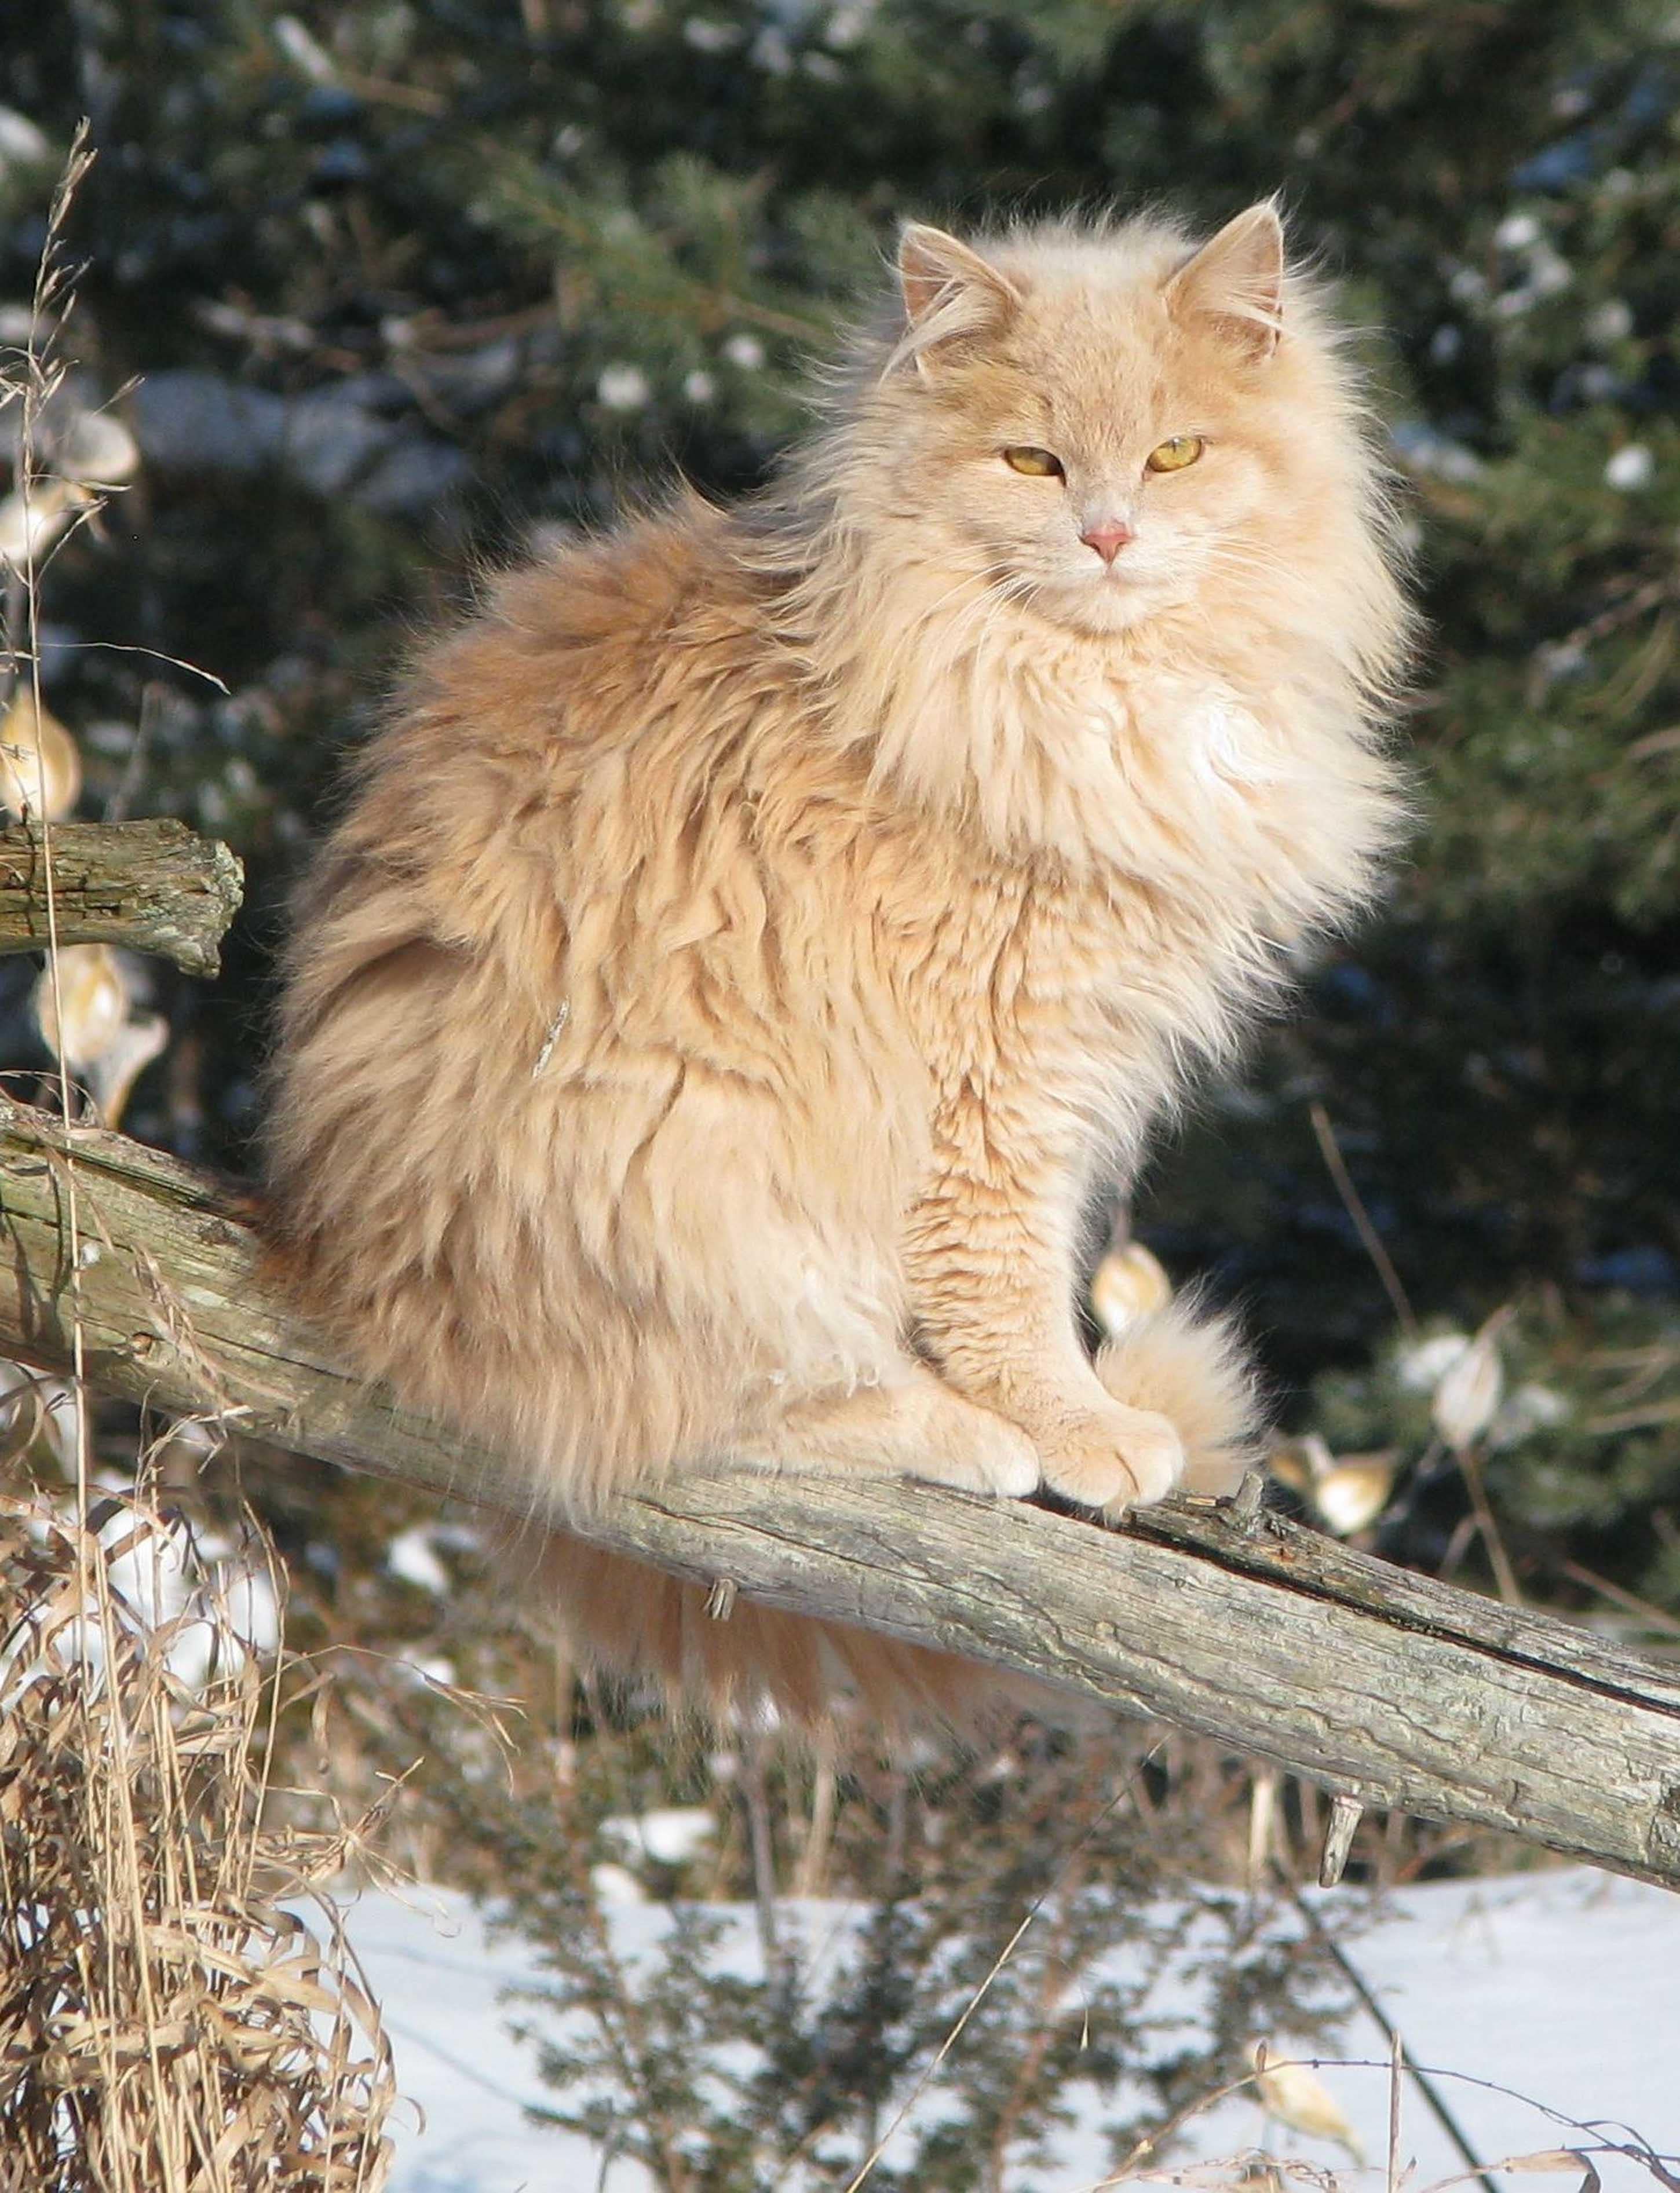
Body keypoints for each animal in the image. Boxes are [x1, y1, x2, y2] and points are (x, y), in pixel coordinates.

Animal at [269, 197, 1412, 1719]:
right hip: (700, 1176)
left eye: (1176, 454)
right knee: (692, 1422)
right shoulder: (1001, 1078)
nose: (1109, 534)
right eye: (1033, 462)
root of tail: (348, 1273)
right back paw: (955, 1431)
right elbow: (1008, 1287)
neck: (1075, 692)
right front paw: (1075, 1423)